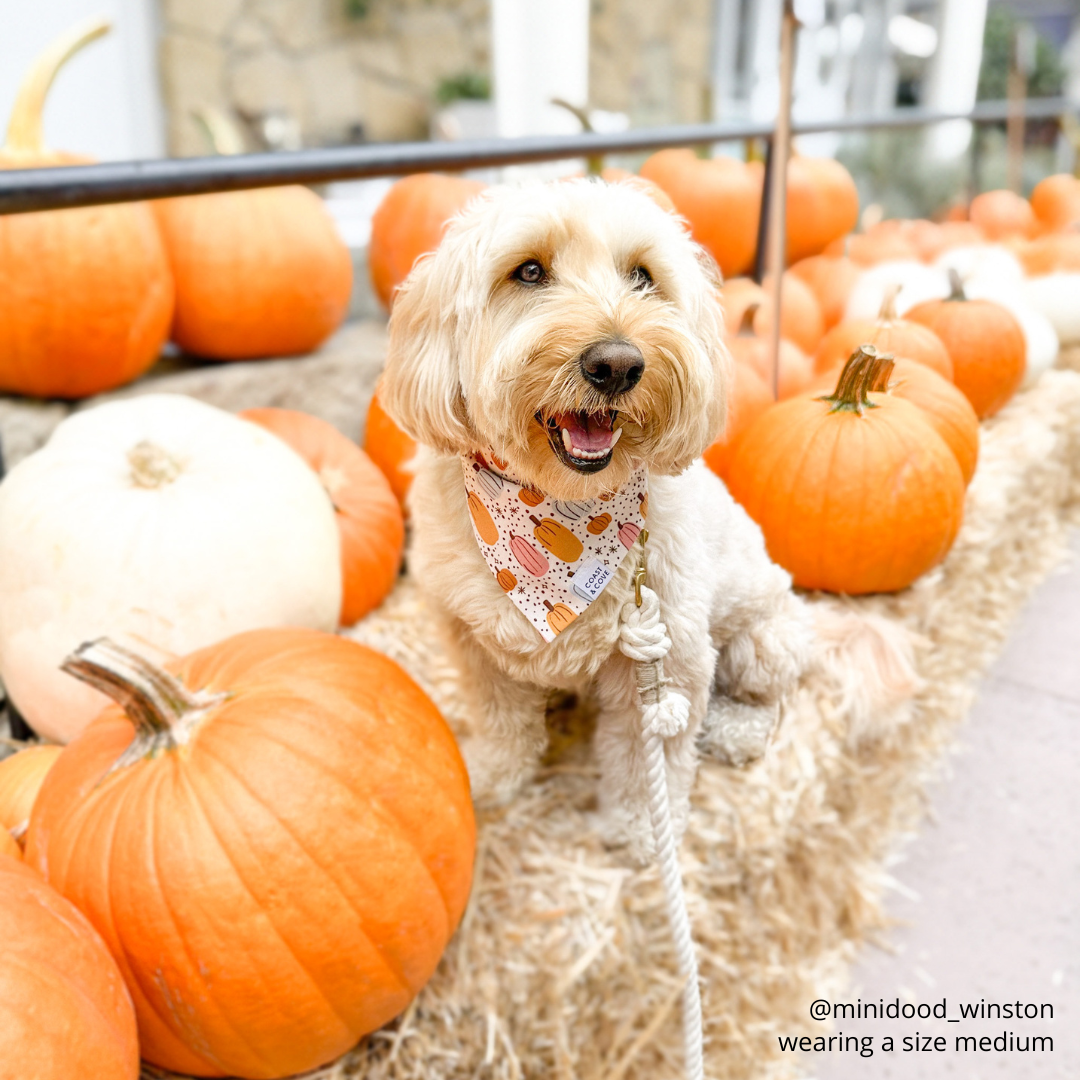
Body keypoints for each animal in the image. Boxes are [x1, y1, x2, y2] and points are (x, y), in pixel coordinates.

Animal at [380, 181, 812, 855]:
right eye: (529, 271)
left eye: (642, 276)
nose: (617, 364)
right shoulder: (474, 645)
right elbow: (502, 721)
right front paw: (494, 776)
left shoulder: (664, 659)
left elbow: (642, 757)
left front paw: (641, 831)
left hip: (763, 639)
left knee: (766, 697)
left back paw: (733, 728)